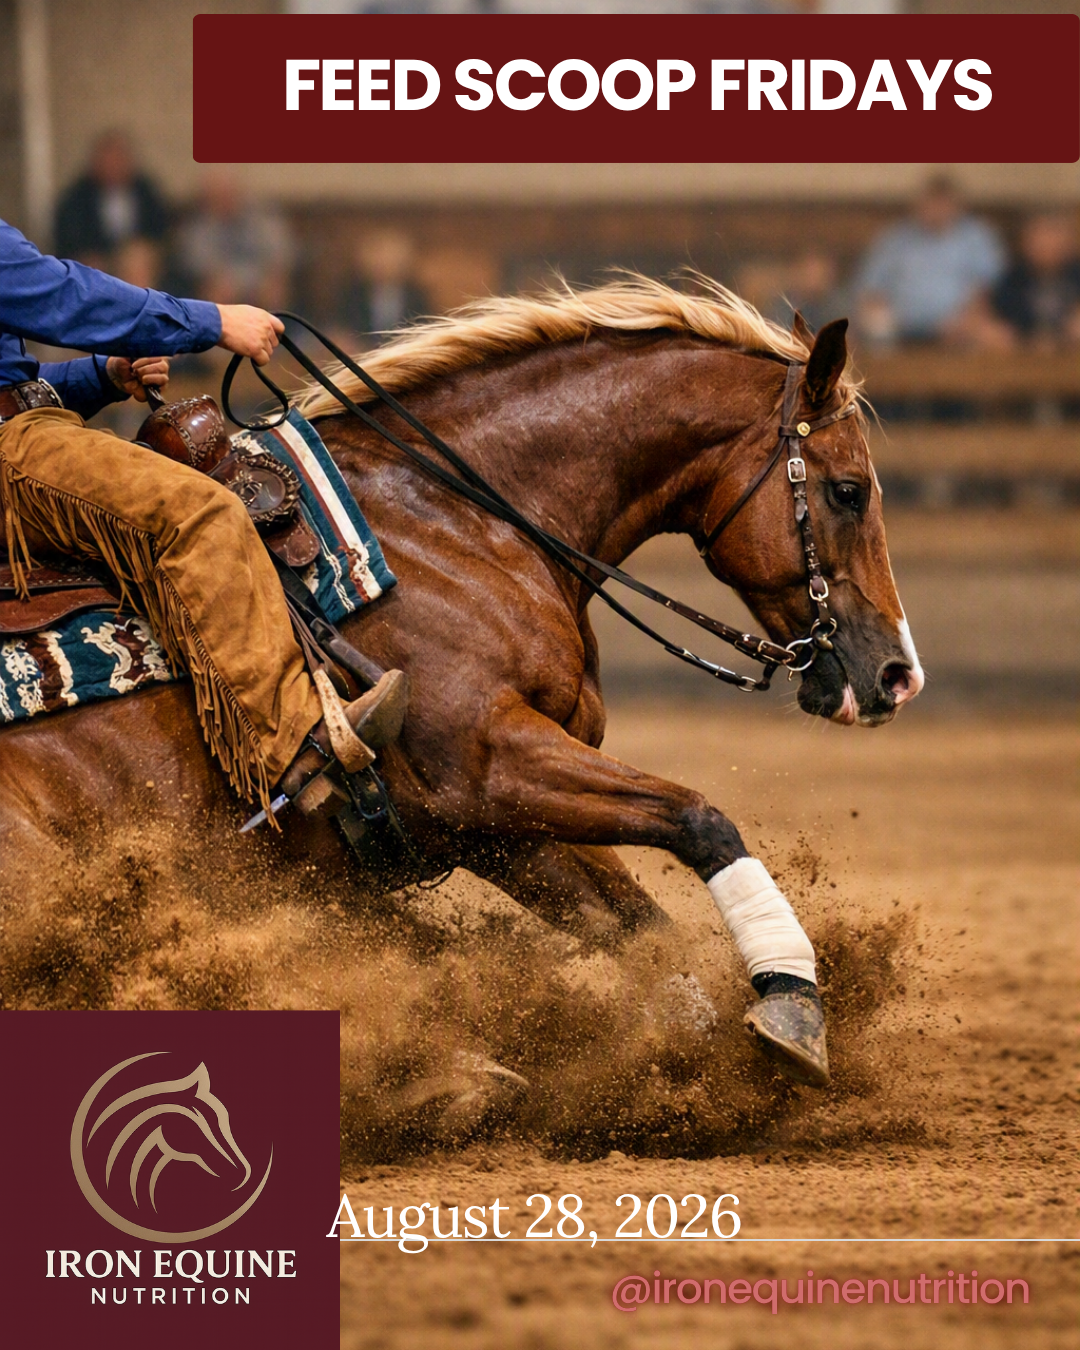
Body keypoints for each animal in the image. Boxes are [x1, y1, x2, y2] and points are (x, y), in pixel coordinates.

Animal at [0, 277, 922, 1089]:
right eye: (848, 489)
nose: (898, 674)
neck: (455, 524)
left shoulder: (498, 830)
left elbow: (632, 926)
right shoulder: (489, 765)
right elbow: (698, 820)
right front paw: (793, 1006)